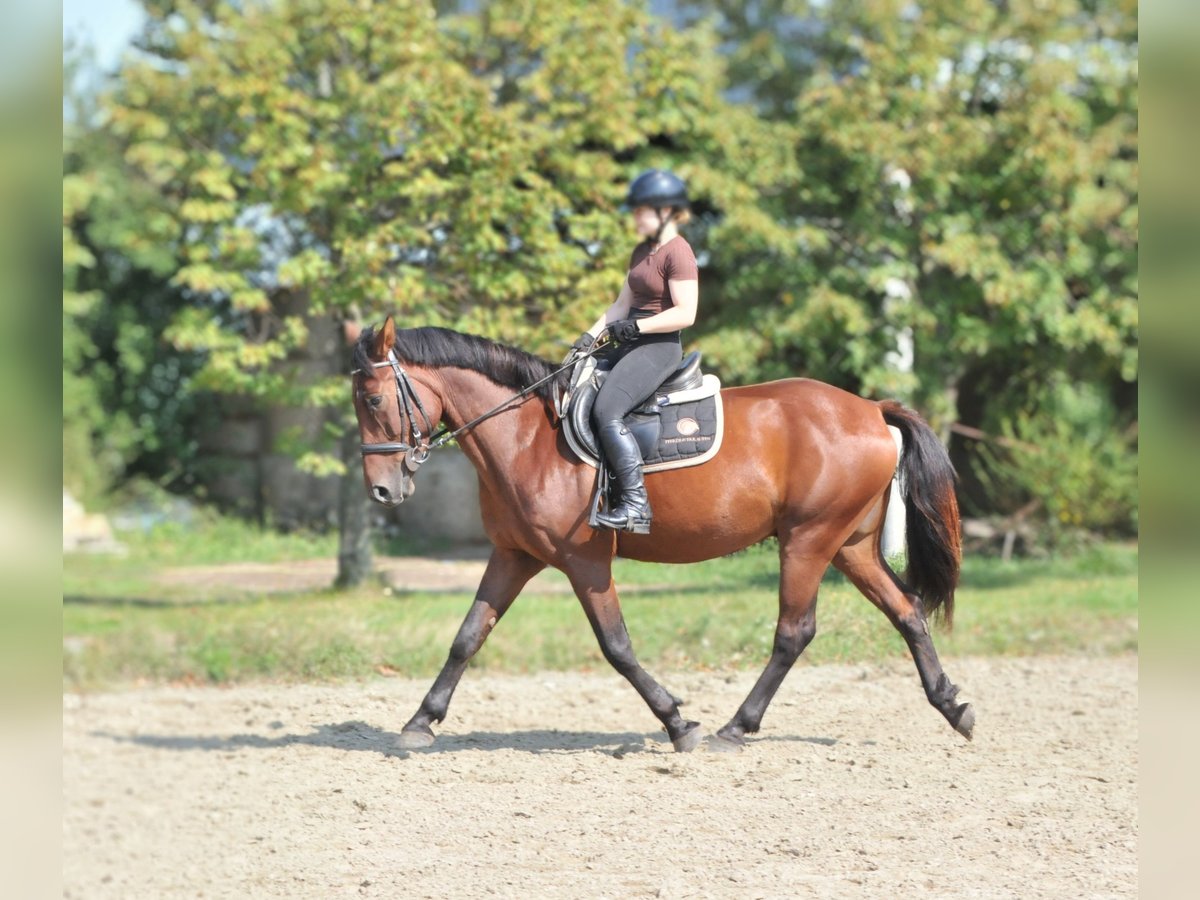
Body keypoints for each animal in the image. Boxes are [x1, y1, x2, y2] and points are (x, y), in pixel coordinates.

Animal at [350, 316, 969, 753]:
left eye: (374, 399)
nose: (380, 491)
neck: (526, 437)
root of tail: (871, 410)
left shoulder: (585, 562)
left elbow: (616, 646)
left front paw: (677, 722)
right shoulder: (514, 555)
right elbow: (468, 637)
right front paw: (421, 721)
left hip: (808, 540)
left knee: (795, 632)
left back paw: (735, 728)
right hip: (849, 546)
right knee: (907, 610)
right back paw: (953, 707)